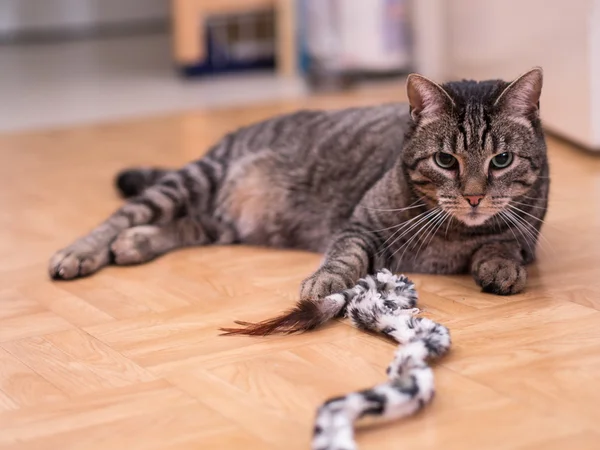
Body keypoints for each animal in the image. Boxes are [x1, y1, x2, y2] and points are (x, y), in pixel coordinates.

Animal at [50, 67, 548, 334]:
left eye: (501, 160)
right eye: (445, 160)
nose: (474, 196)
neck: (453, 232)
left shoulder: (526, 235)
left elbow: (504, 242)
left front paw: (499, 265)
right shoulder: (359, 225)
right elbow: (344, 257)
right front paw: (324, 284)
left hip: (223, 222)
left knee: (184, 226)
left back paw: (137, 243)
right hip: (195, 181)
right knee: (124, 215)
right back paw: (80, 252)